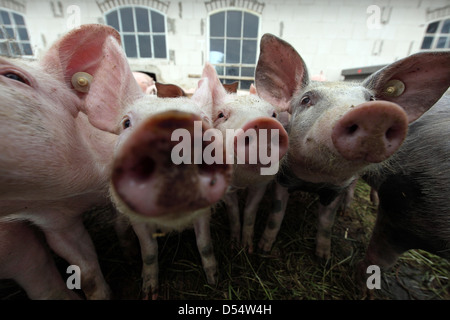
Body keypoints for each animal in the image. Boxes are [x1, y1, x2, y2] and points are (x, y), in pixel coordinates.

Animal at [202, 63, 290, 252]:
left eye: (274, 115)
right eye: (221, 115)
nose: (263, 125)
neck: (244, 180)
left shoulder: (262, 183)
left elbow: (250, 209)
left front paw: (249, 248)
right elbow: (233, 209)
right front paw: (234, 245)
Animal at [255, 34, 448, 260]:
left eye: (371, 99)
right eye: (306, 99)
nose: (377, 112)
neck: (314, 179)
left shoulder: (335, 190)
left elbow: (327, 222)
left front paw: (324, 257)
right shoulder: (284, 179)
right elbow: (276, 215)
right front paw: (264, 249)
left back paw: (354, 208)